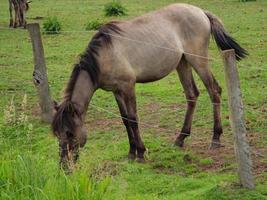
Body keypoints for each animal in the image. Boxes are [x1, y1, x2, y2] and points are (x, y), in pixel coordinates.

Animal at [51, 3, 248, 171]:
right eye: (57, 133)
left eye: (69, 133)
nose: (64, 166)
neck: (105, 55)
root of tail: (201, 11)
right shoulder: (116, 91)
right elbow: (124, 120)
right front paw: (131, 152)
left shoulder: (128, 87)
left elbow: (133, 119)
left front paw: (140, 153)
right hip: (182, 63)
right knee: (192, 94)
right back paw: (180, 139)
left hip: (198, 61)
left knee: (214, 91)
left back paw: (215, 138)